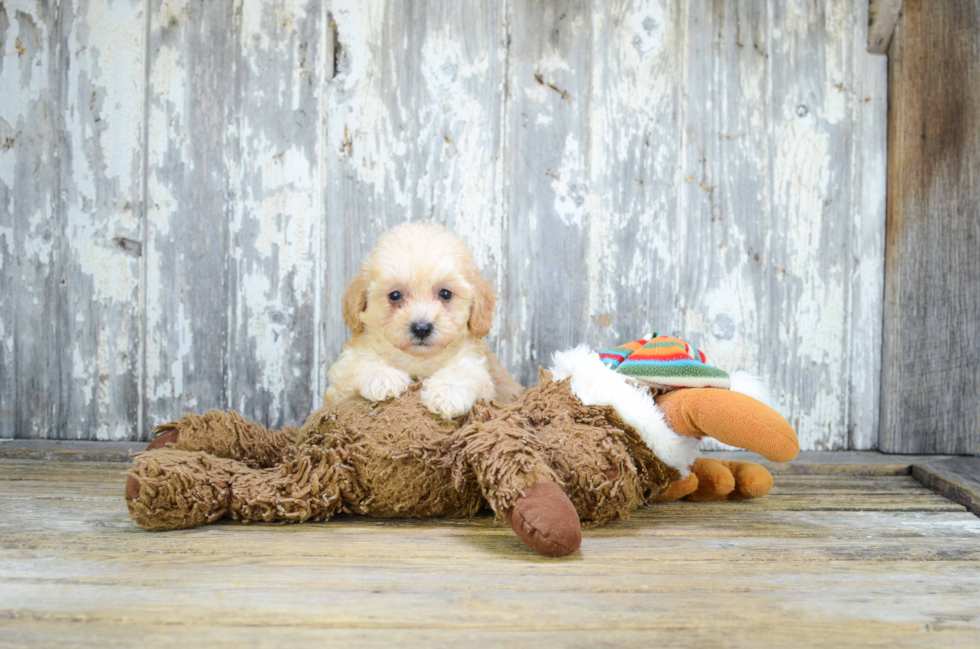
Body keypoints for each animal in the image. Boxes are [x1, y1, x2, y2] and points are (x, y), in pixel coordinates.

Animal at [324, 220, 524, 418]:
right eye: (395, 295)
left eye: (445, 294)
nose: (421, 328)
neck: (418, 359)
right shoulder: (340, 382)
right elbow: (358, 362)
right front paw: (382, 378)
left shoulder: (477, 368)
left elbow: (464, 371)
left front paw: (447, 394)